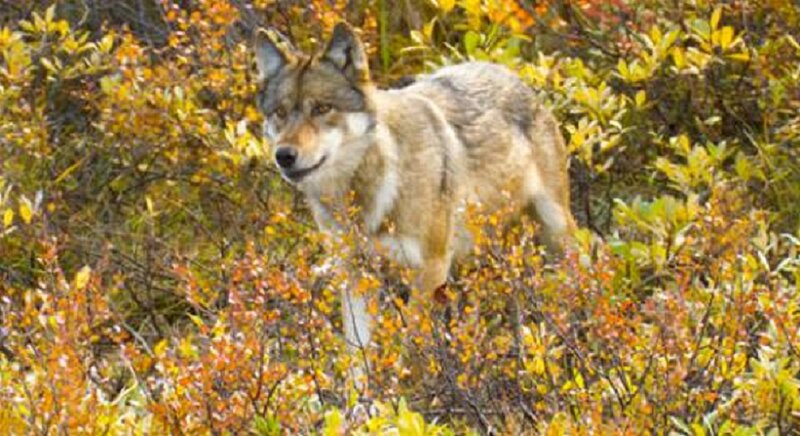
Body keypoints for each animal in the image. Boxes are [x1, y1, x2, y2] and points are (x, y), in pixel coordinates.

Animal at [253, 23, 575, 376]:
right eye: (280, 113)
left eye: (322, 108)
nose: (284, 156)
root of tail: (504, 70)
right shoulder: (353, 275)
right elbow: (358, 361)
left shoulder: (429, 270)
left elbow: (409, 351)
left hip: (558, 235)